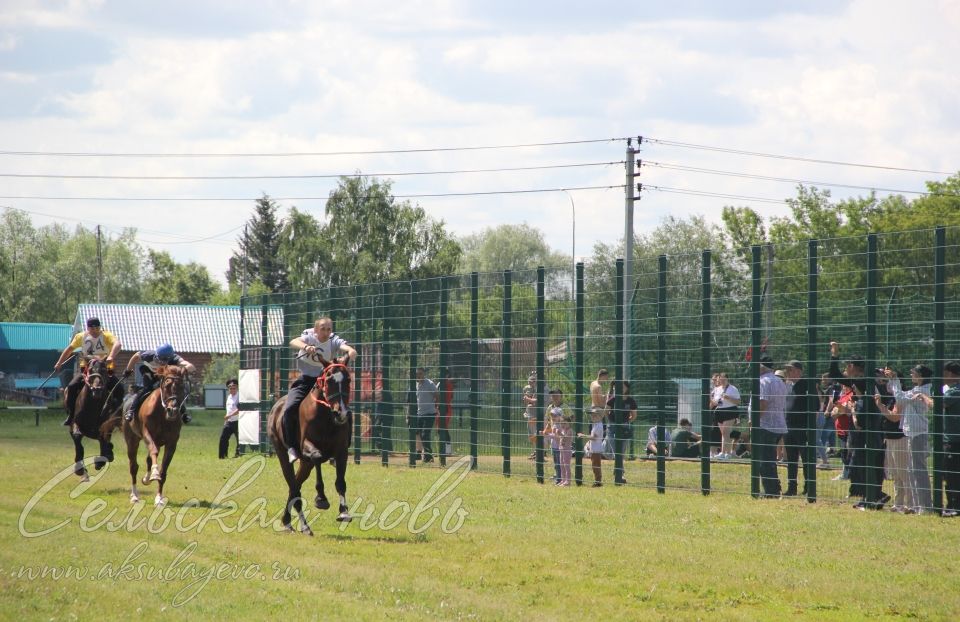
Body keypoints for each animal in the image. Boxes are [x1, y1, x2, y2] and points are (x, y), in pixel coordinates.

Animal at [69, 358, 124, 486]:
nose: (96, 389)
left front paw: (100, 462)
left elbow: (104, 443)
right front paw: (80, 470)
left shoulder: (105, 428)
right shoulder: (75, 424)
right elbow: (77, 439)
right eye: (90, 370)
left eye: (104, 370)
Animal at [120, 366, 188, 508]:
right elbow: (153, 452)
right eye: (167, 385)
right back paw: (134, 496)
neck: (162, 413)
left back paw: (146, 479)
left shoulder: (171, 443)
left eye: (181, 386)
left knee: (148, 460)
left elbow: (163, 470)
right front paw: (155, 472)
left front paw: (159, 498)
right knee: (133, 466)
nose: (173, 411)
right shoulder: (147, 434)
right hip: (132, 441)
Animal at [268, 360, 354, 536]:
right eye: (328, 380)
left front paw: (344, 512)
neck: (326, 416)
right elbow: (317, 457)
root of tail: (275, 408)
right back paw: (304, 526)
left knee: (294, 487)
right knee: (294, 487)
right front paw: (321, 498)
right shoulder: (308, 446)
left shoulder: (342, 452)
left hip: (305, 465)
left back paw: (287, 521)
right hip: (283, 456)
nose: (341, 412)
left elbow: (340, 482)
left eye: (348, 380)